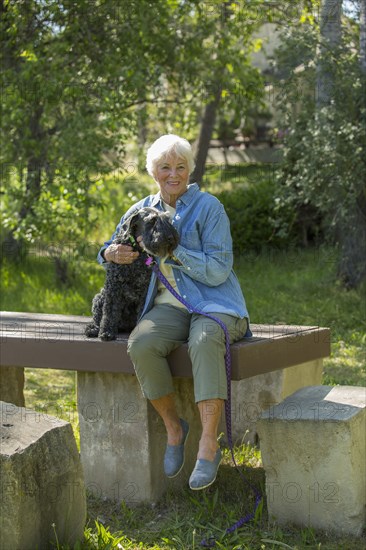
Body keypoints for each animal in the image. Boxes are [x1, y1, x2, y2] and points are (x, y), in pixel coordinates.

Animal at [84, 208, 179, 340]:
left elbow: (141, 310)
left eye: (166, 219)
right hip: (99, 297)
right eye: (152, 220)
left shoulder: (144, 290)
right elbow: (109, 311)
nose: (171, 237)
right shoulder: (114, 287)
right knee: (98, 317)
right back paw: (93, 328)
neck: (137, 249)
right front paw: (107, 332)